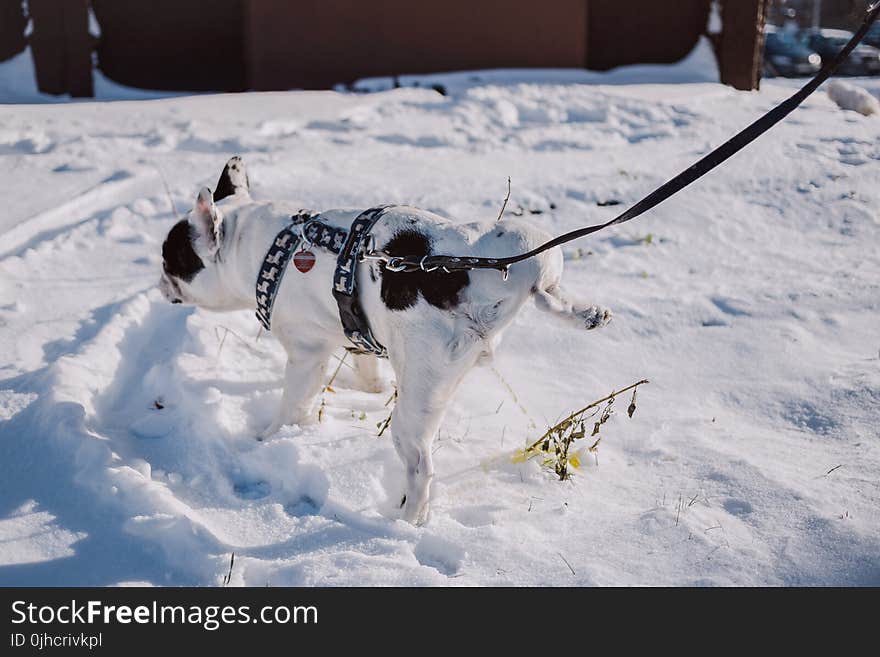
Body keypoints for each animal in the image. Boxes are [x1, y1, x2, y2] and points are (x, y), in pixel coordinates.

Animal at [160, 158, 612, 524]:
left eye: (171, 260)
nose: (160, 281)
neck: (263, 246)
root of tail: (472, 276)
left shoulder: (306, 354)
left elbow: (292, 405)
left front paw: (267, 437)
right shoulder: (357, 330)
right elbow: (365, 364)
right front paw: (369, 387)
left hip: (417, 393)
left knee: (420, 466)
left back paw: (405, 521)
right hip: (531, 246)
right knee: (550, 291)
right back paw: (587, 314)